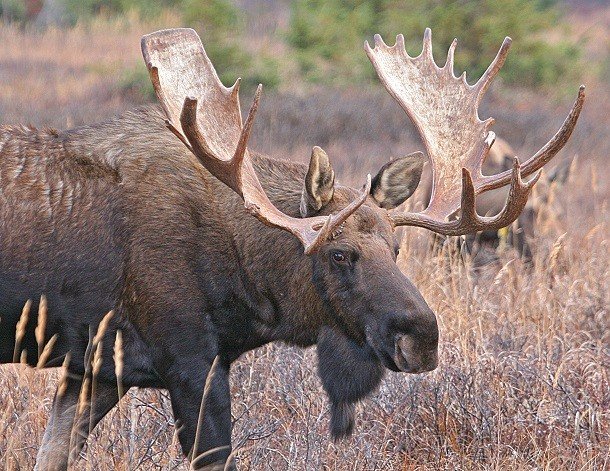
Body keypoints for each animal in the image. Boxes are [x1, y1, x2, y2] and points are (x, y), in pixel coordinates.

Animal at [0, 27, 580, 470]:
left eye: (396, 248)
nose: (423, 336)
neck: (246, 286)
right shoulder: (188, 361)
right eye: (339, 254)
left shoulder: (95, 368)